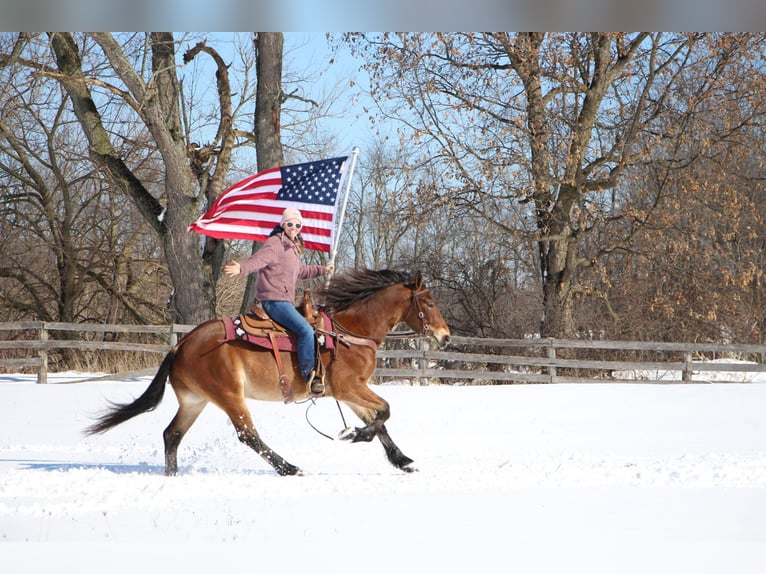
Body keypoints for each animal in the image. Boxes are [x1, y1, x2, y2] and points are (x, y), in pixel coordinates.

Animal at [85, 270, 450, 476]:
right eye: (429, 303)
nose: (445, 337)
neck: (351, 332)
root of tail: (182, 344)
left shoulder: (348, 391)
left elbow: (379, 419)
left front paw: (401, 460)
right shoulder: (347, 387)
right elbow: (385, 411)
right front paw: (356, 435)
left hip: (195, 400)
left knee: (171, 435)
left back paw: (171, 476)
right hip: (229, 396)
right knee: (248, 435)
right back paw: (289, 468)